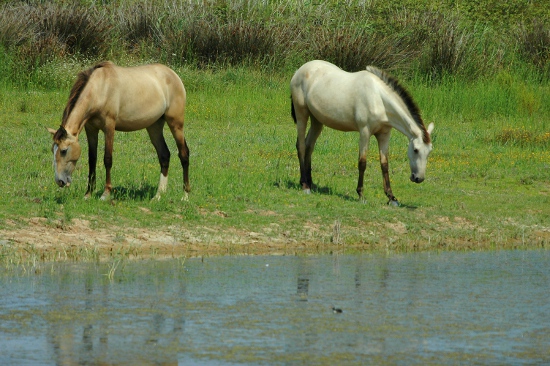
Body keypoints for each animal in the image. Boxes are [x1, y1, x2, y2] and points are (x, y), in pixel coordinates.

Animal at [48, 62, 190, 200]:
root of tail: (173, 74)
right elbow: (92, 160)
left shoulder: (109, 127)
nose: (59, 181)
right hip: (154, 126)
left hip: (176, 124)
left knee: (183, 154)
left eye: (63, 150)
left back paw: (185, 195)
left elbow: (107, 159)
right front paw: (88, 194)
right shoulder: (91, 129)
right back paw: (159, 195)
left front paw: (105, 194)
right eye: (52, 150)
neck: (101, 88)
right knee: (164, 155)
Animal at [292, 61, 438, 206]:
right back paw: (305, 185)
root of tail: (300, 70)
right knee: (301, 146)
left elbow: (384, 164)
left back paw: (310, 182)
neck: (379, 99)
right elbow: (362, 163)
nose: (418, 178)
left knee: (309, 146)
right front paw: (361, 195)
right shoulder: (364, 132)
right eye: (415, 150)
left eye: (429, 151)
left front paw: (391, 197)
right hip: (301, 115)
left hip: (317, 121)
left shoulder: (384, 135)